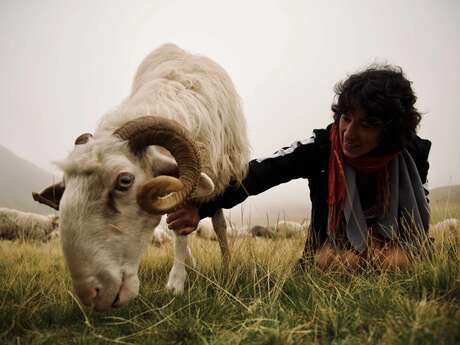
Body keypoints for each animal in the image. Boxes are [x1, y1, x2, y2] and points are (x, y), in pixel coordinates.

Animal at [31, 43, 250, 310]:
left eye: (125, 181)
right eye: (65, 186)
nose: (92, 294)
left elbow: (191, 227)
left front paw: (176, 283)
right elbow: (177, 226)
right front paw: (183, 273)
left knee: (218, 224)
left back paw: (224, 262)